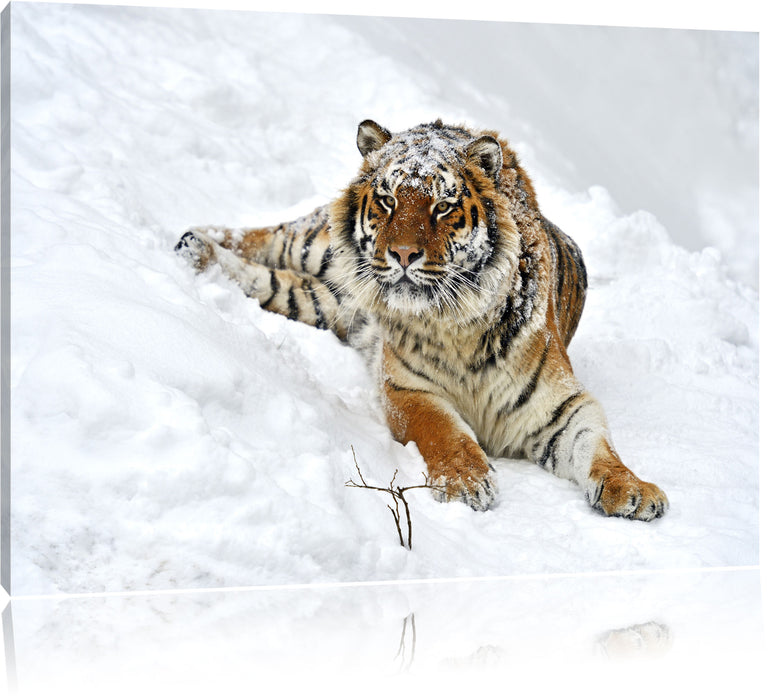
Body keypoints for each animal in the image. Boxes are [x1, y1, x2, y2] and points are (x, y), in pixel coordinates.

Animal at [176, 117, 668, 516]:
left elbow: (598, 446)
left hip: (325, 301)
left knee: (271, 282)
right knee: (265, 236)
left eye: (443, 206)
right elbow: (444, 432)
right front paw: (467, 482)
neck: (459, 324)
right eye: (388, 200)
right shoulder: (407, 389)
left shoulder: (563, 404)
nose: (402, 254)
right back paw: (190, 240)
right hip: (315, 244)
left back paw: (200, 253)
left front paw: (633, 490)